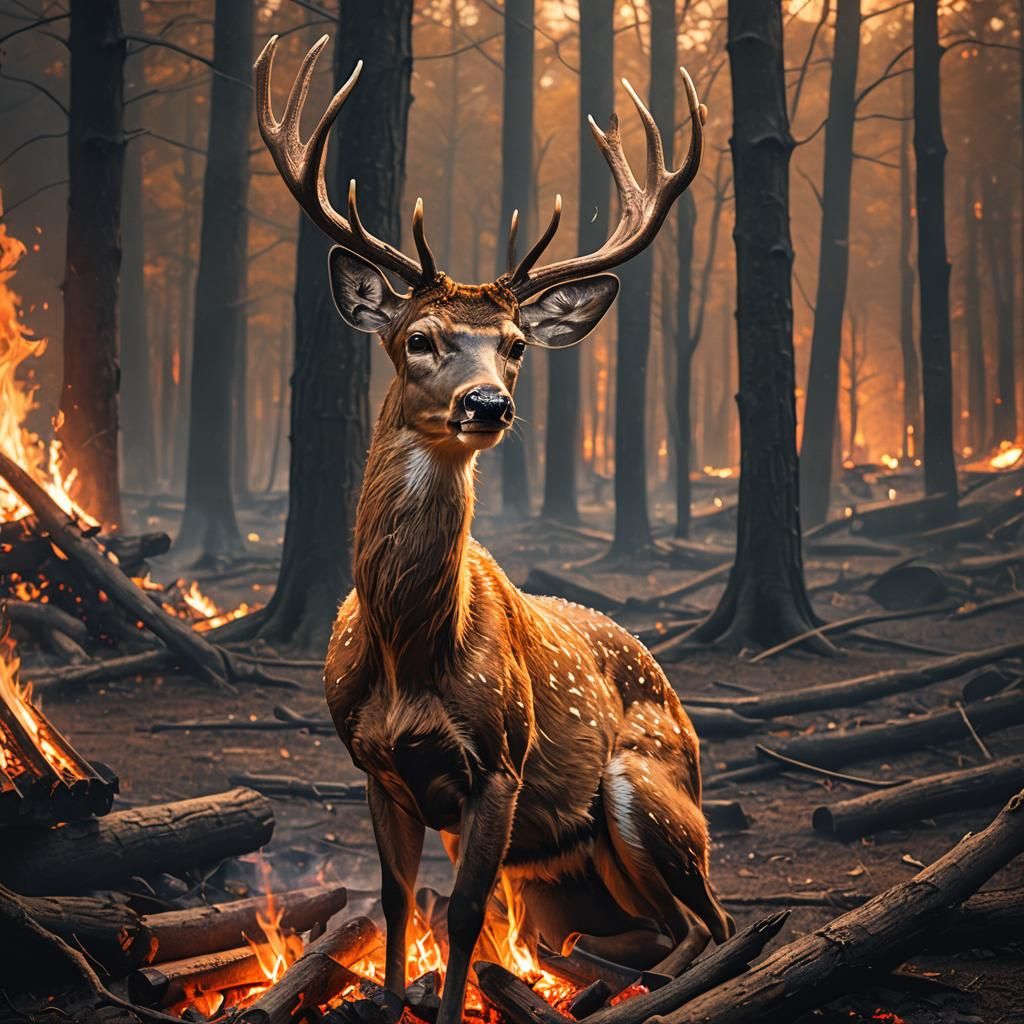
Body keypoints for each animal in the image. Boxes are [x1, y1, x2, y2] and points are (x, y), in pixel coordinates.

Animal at [255, 34, 732, 1024]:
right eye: (420, 337)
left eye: (514, 345)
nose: (489, 404)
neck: (409, 655)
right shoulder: (372, 764)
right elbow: (399, 902)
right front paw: (392, 997)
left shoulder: (500, 764)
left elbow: (467, 913)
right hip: (575, 866)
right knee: (640, 928)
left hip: (650, 792)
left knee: (714, 921)